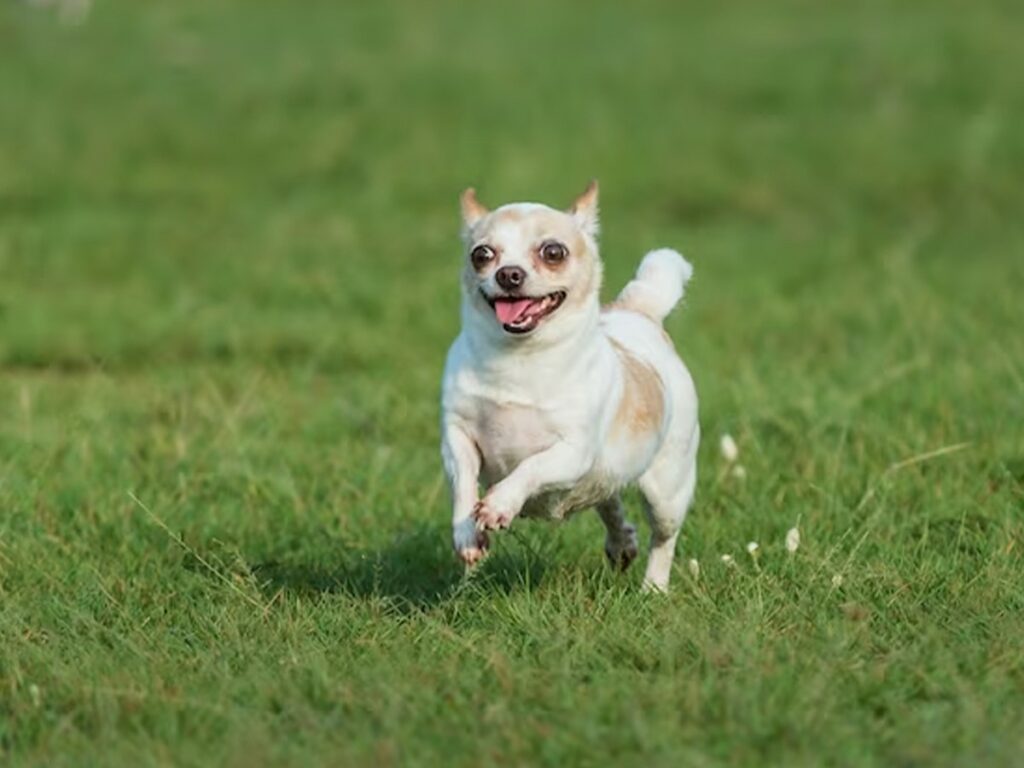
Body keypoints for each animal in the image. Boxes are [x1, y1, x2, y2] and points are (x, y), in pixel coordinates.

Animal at [436, 183, 700, 593]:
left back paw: (654, 587)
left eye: (553, 252)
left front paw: (500, 504)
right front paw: (466, 533)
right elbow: (464, 481)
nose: (508, 274)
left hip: (667, 488)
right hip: (607, 475)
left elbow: (530, 467)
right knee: (608, 499)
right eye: (481, 254)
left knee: (663, 538)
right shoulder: (457, 437)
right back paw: (622, 541)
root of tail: (637, 311)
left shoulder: (572, 452)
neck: (519, 359)